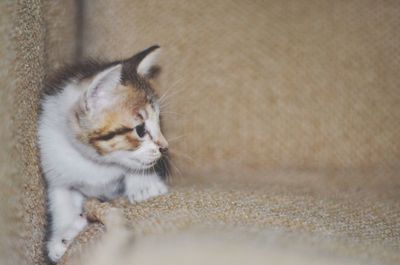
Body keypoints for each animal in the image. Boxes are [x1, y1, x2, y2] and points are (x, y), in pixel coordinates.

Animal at [36, 44, 170, 260]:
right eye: (140, 130)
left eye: (159, 122)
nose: (164, 146)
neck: (96, 163)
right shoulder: (52, 159)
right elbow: (60, 198)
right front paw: (62, 234)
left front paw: (144, 185)